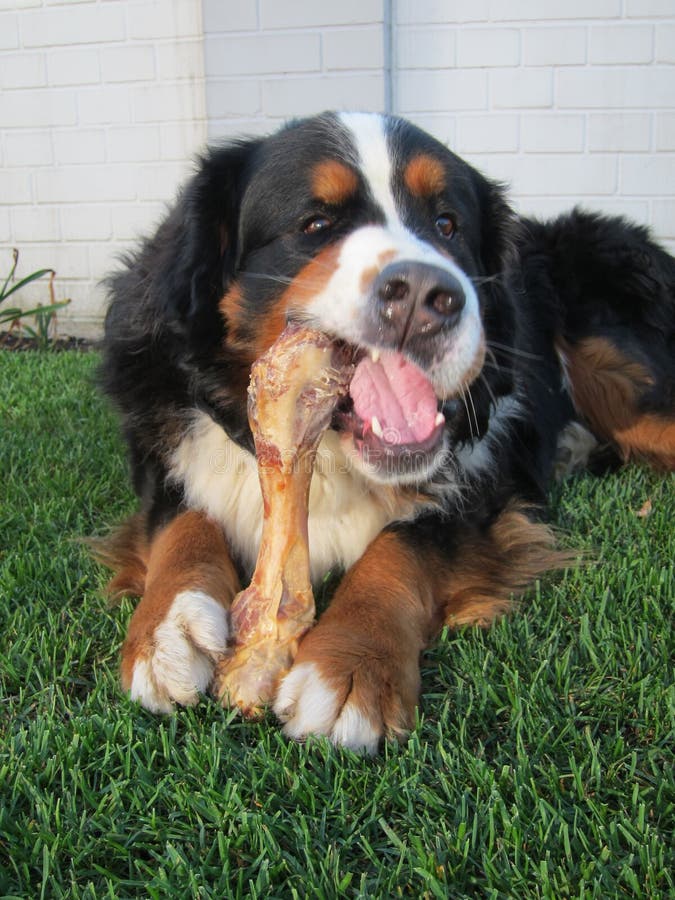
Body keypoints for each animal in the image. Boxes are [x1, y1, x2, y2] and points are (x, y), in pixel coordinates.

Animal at [100, 110, 675, 752]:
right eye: (316, 223)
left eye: (448, 224)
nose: (425, 295)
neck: (329, 459)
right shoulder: (164, 449)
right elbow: (183, 519)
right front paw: (169, 627)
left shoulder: (480, 487)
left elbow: (401, 548)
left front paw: (351, 667)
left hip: (620, 384)